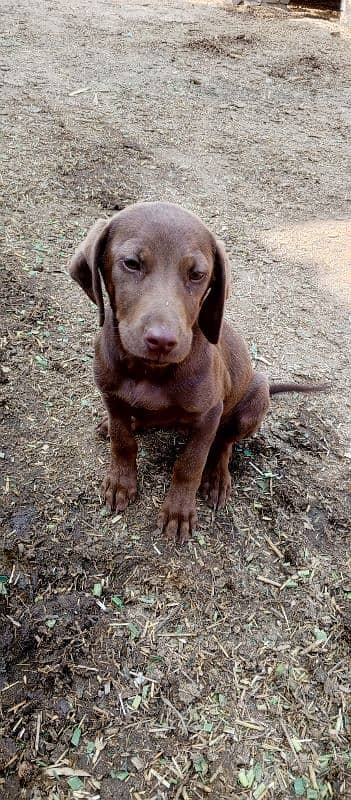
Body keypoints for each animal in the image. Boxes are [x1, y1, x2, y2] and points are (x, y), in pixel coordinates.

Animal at [71, 200, 328, 544]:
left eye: (197, 275)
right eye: (131, 264)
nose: (162, 341)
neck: (150, 372)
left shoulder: (209, 414)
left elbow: (190, 464)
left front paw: (178, 511)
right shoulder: (111, 397)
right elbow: (123, 441)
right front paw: (120, 483)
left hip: (255, 397)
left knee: (224, 444)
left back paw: (217, 478)